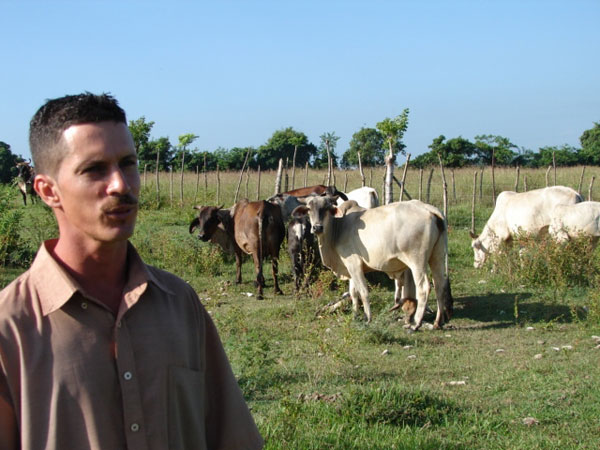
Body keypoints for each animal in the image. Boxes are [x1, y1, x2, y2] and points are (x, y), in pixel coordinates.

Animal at [292, 195, 452, 328]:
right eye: (309, 209)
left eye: (326, 208)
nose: (317, 227)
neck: (338, 228)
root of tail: (429, 209)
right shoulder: (349, 268)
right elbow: (353, 292)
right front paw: (355, 314)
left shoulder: (354, 264)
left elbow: (363, 291)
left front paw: (367, 317)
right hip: (437, 257)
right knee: (439, 285)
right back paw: (438, 322)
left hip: (417, 261)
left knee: (424, 287)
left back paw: (416, 323)